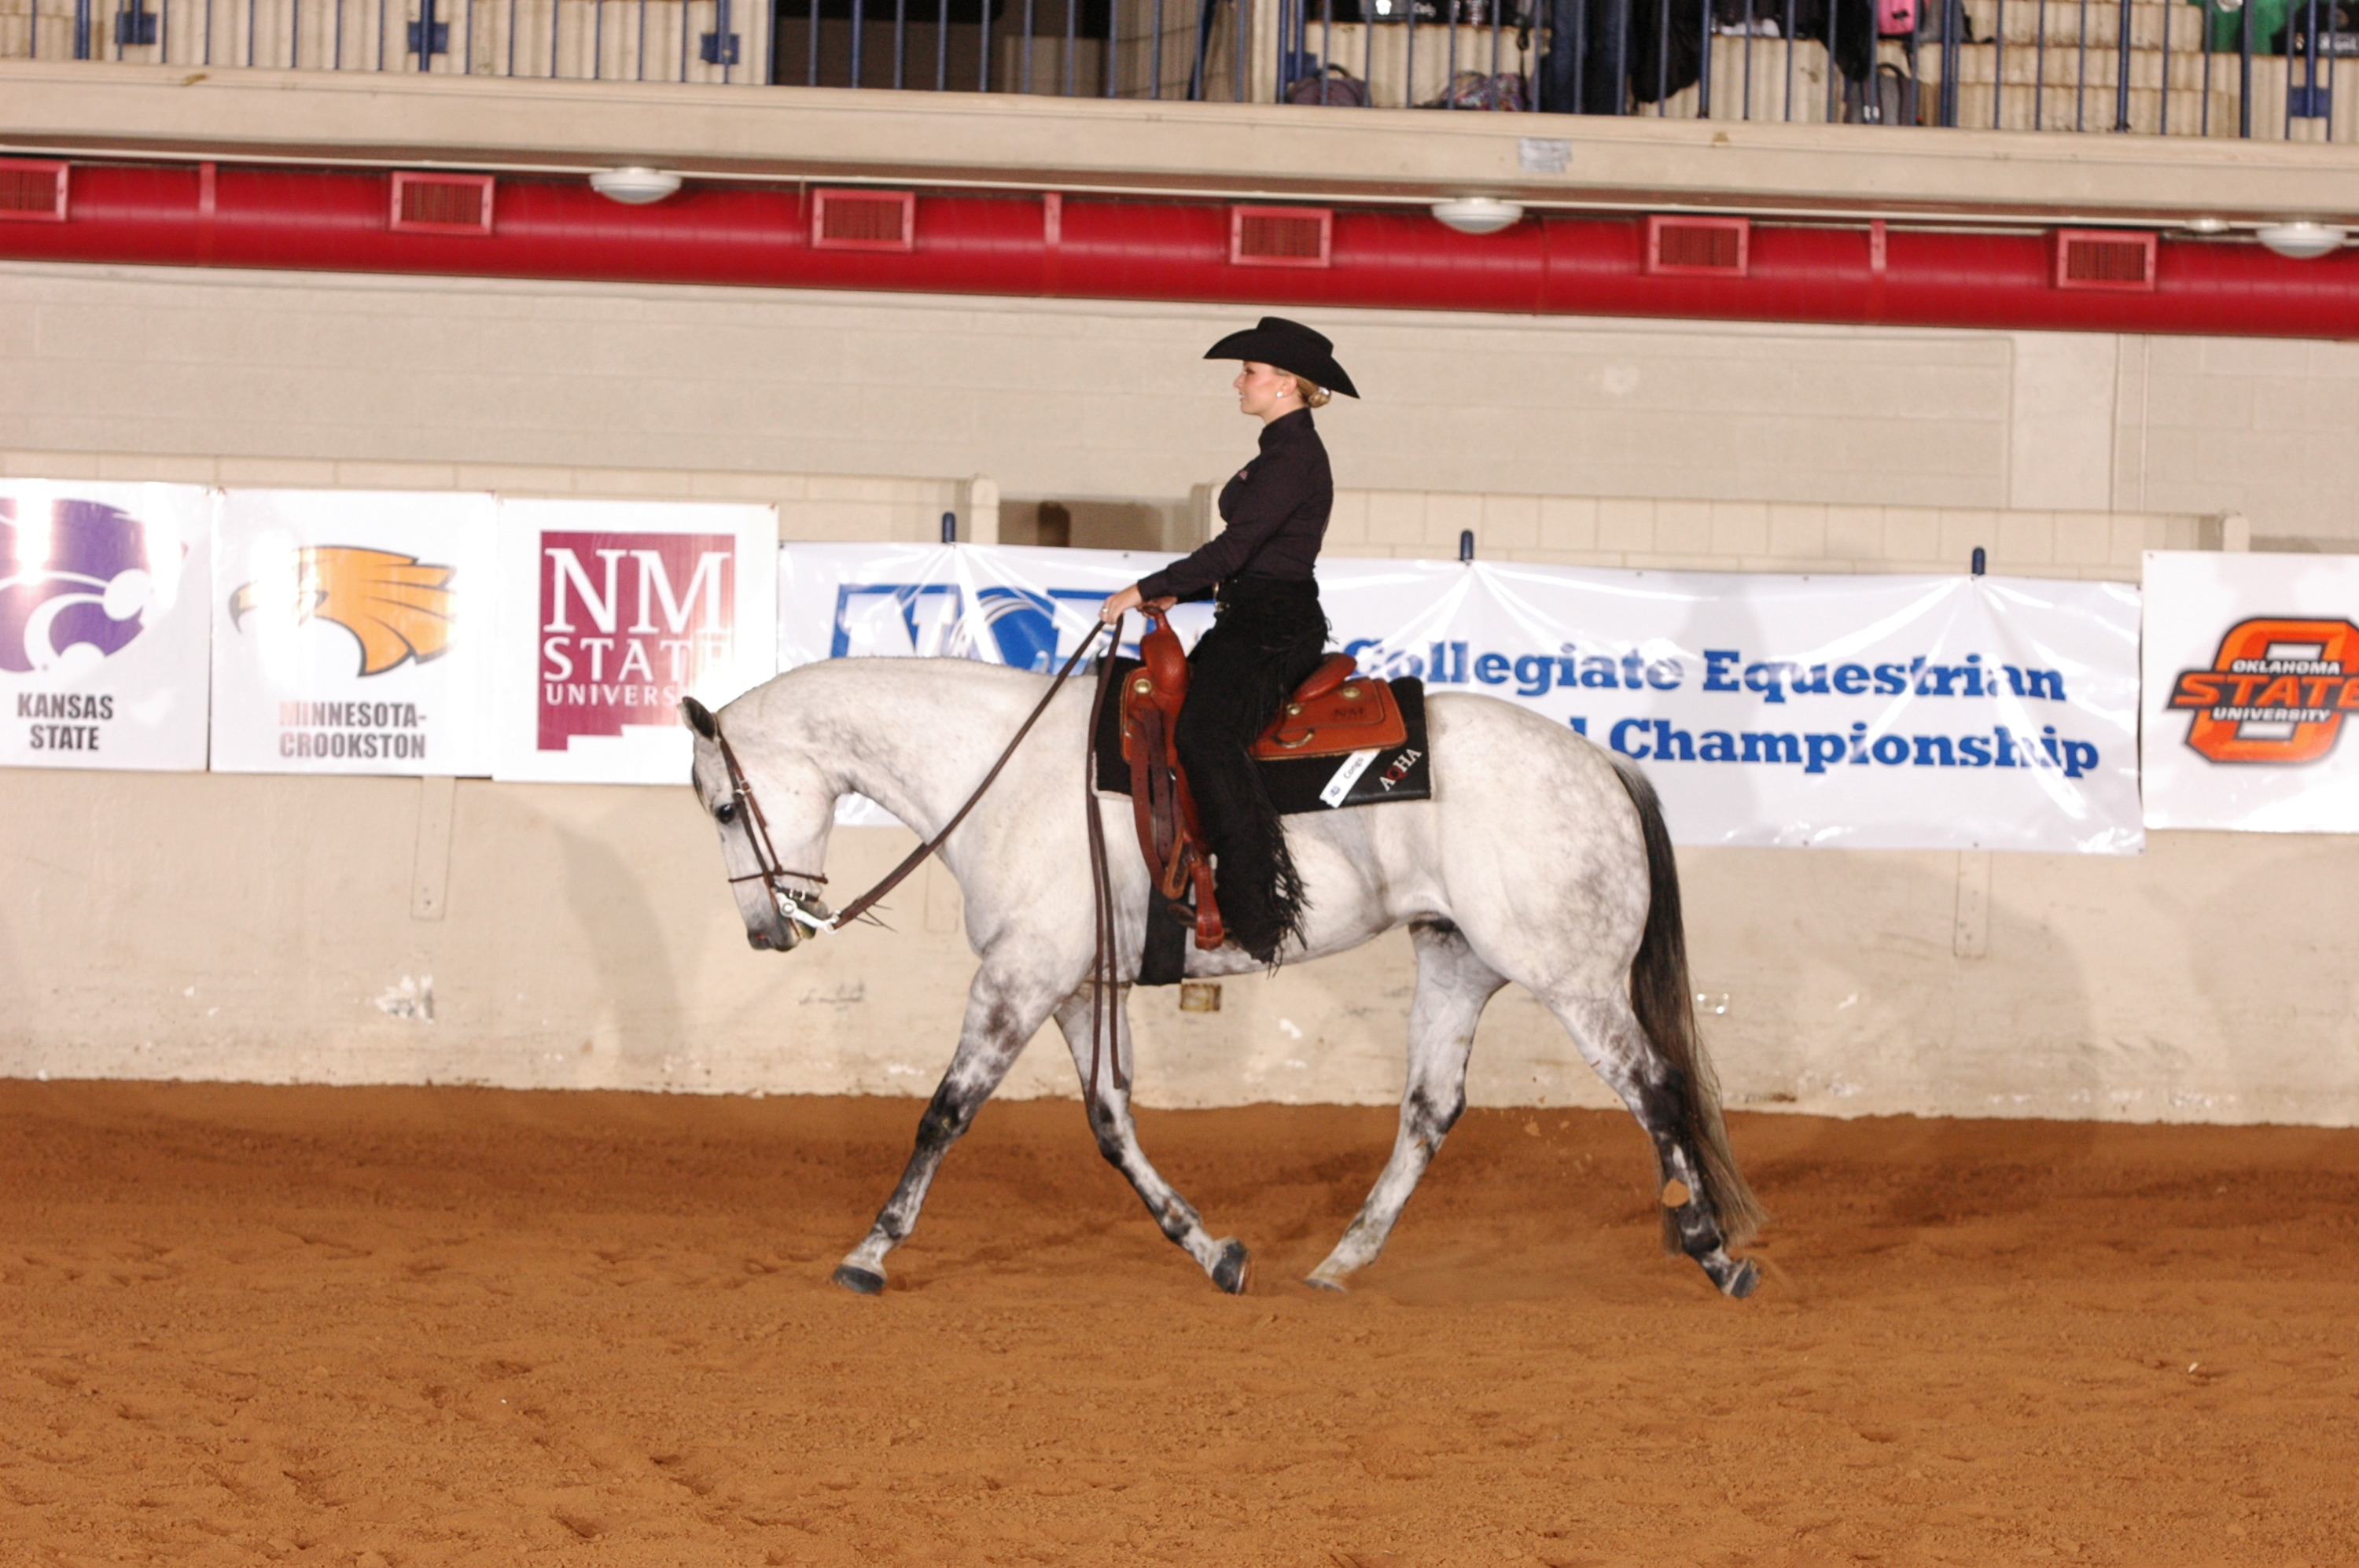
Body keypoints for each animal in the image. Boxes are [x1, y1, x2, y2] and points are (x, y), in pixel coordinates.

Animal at [675, 655, 1765, 1292]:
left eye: (724, 806)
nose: (769, 931)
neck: (1009, 772)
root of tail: (1599, 760)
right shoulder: (1079, 985)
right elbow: (1111, 1124)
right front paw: (1212, 1249)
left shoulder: (1019, 974)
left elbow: (945, 1110)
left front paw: (870, 1249)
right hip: (1456, 958)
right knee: (1430, 1109)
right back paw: (1340, 1260)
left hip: (1574, 977)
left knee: (1656, 1086)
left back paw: (1713, 1247)